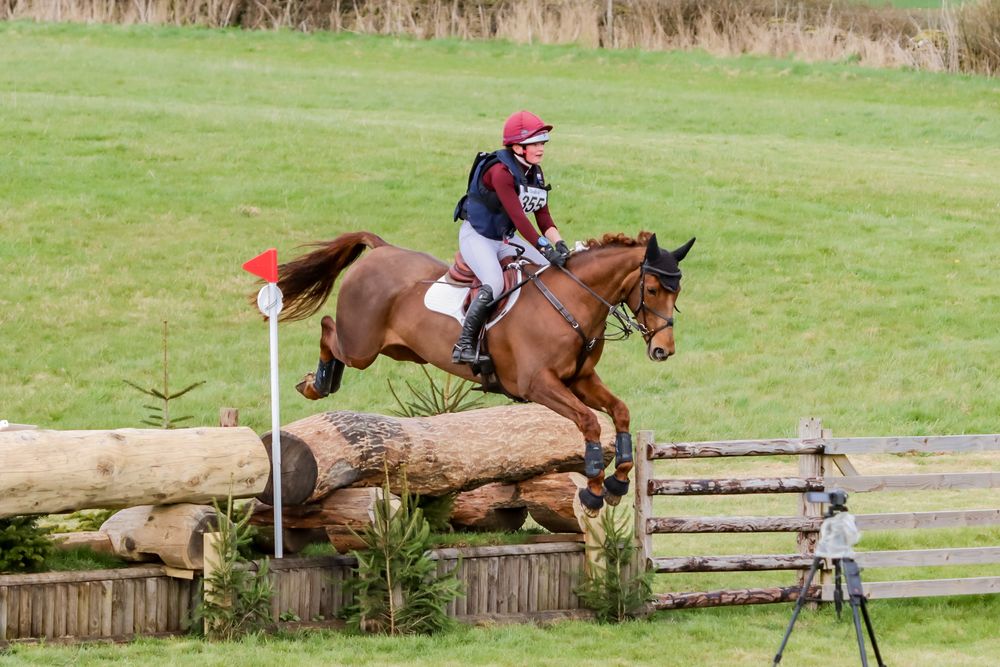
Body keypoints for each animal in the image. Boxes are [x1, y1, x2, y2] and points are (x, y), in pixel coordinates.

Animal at [275, 230, 694, 514]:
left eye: (676, 291)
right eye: (653, 289)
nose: (663, 350)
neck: (571, 302)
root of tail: (381, 249)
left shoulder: (580, 380)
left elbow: (619, 412)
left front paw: (617, 482)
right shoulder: (539, 385)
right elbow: (589, 422)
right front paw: (592, 489)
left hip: (399, 350)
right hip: (362, 346)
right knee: (329, 329)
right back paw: (316, 383)